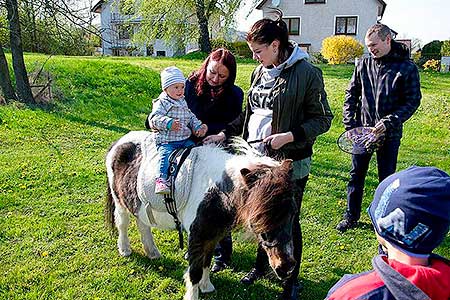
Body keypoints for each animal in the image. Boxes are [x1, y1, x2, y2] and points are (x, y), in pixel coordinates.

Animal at [103, 131, 298, 300]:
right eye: (259, 216)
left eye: (293, 212)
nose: (286, 267)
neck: (217, 193)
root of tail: (119, 142)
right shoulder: (197, 236)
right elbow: (195, 271)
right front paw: (193, 295)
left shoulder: (212, 235)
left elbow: (206, 262)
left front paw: (207, 287)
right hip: (119, 202)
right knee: (122, 224)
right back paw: (125, 249)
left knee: (143, 224)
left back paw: (152, 252)